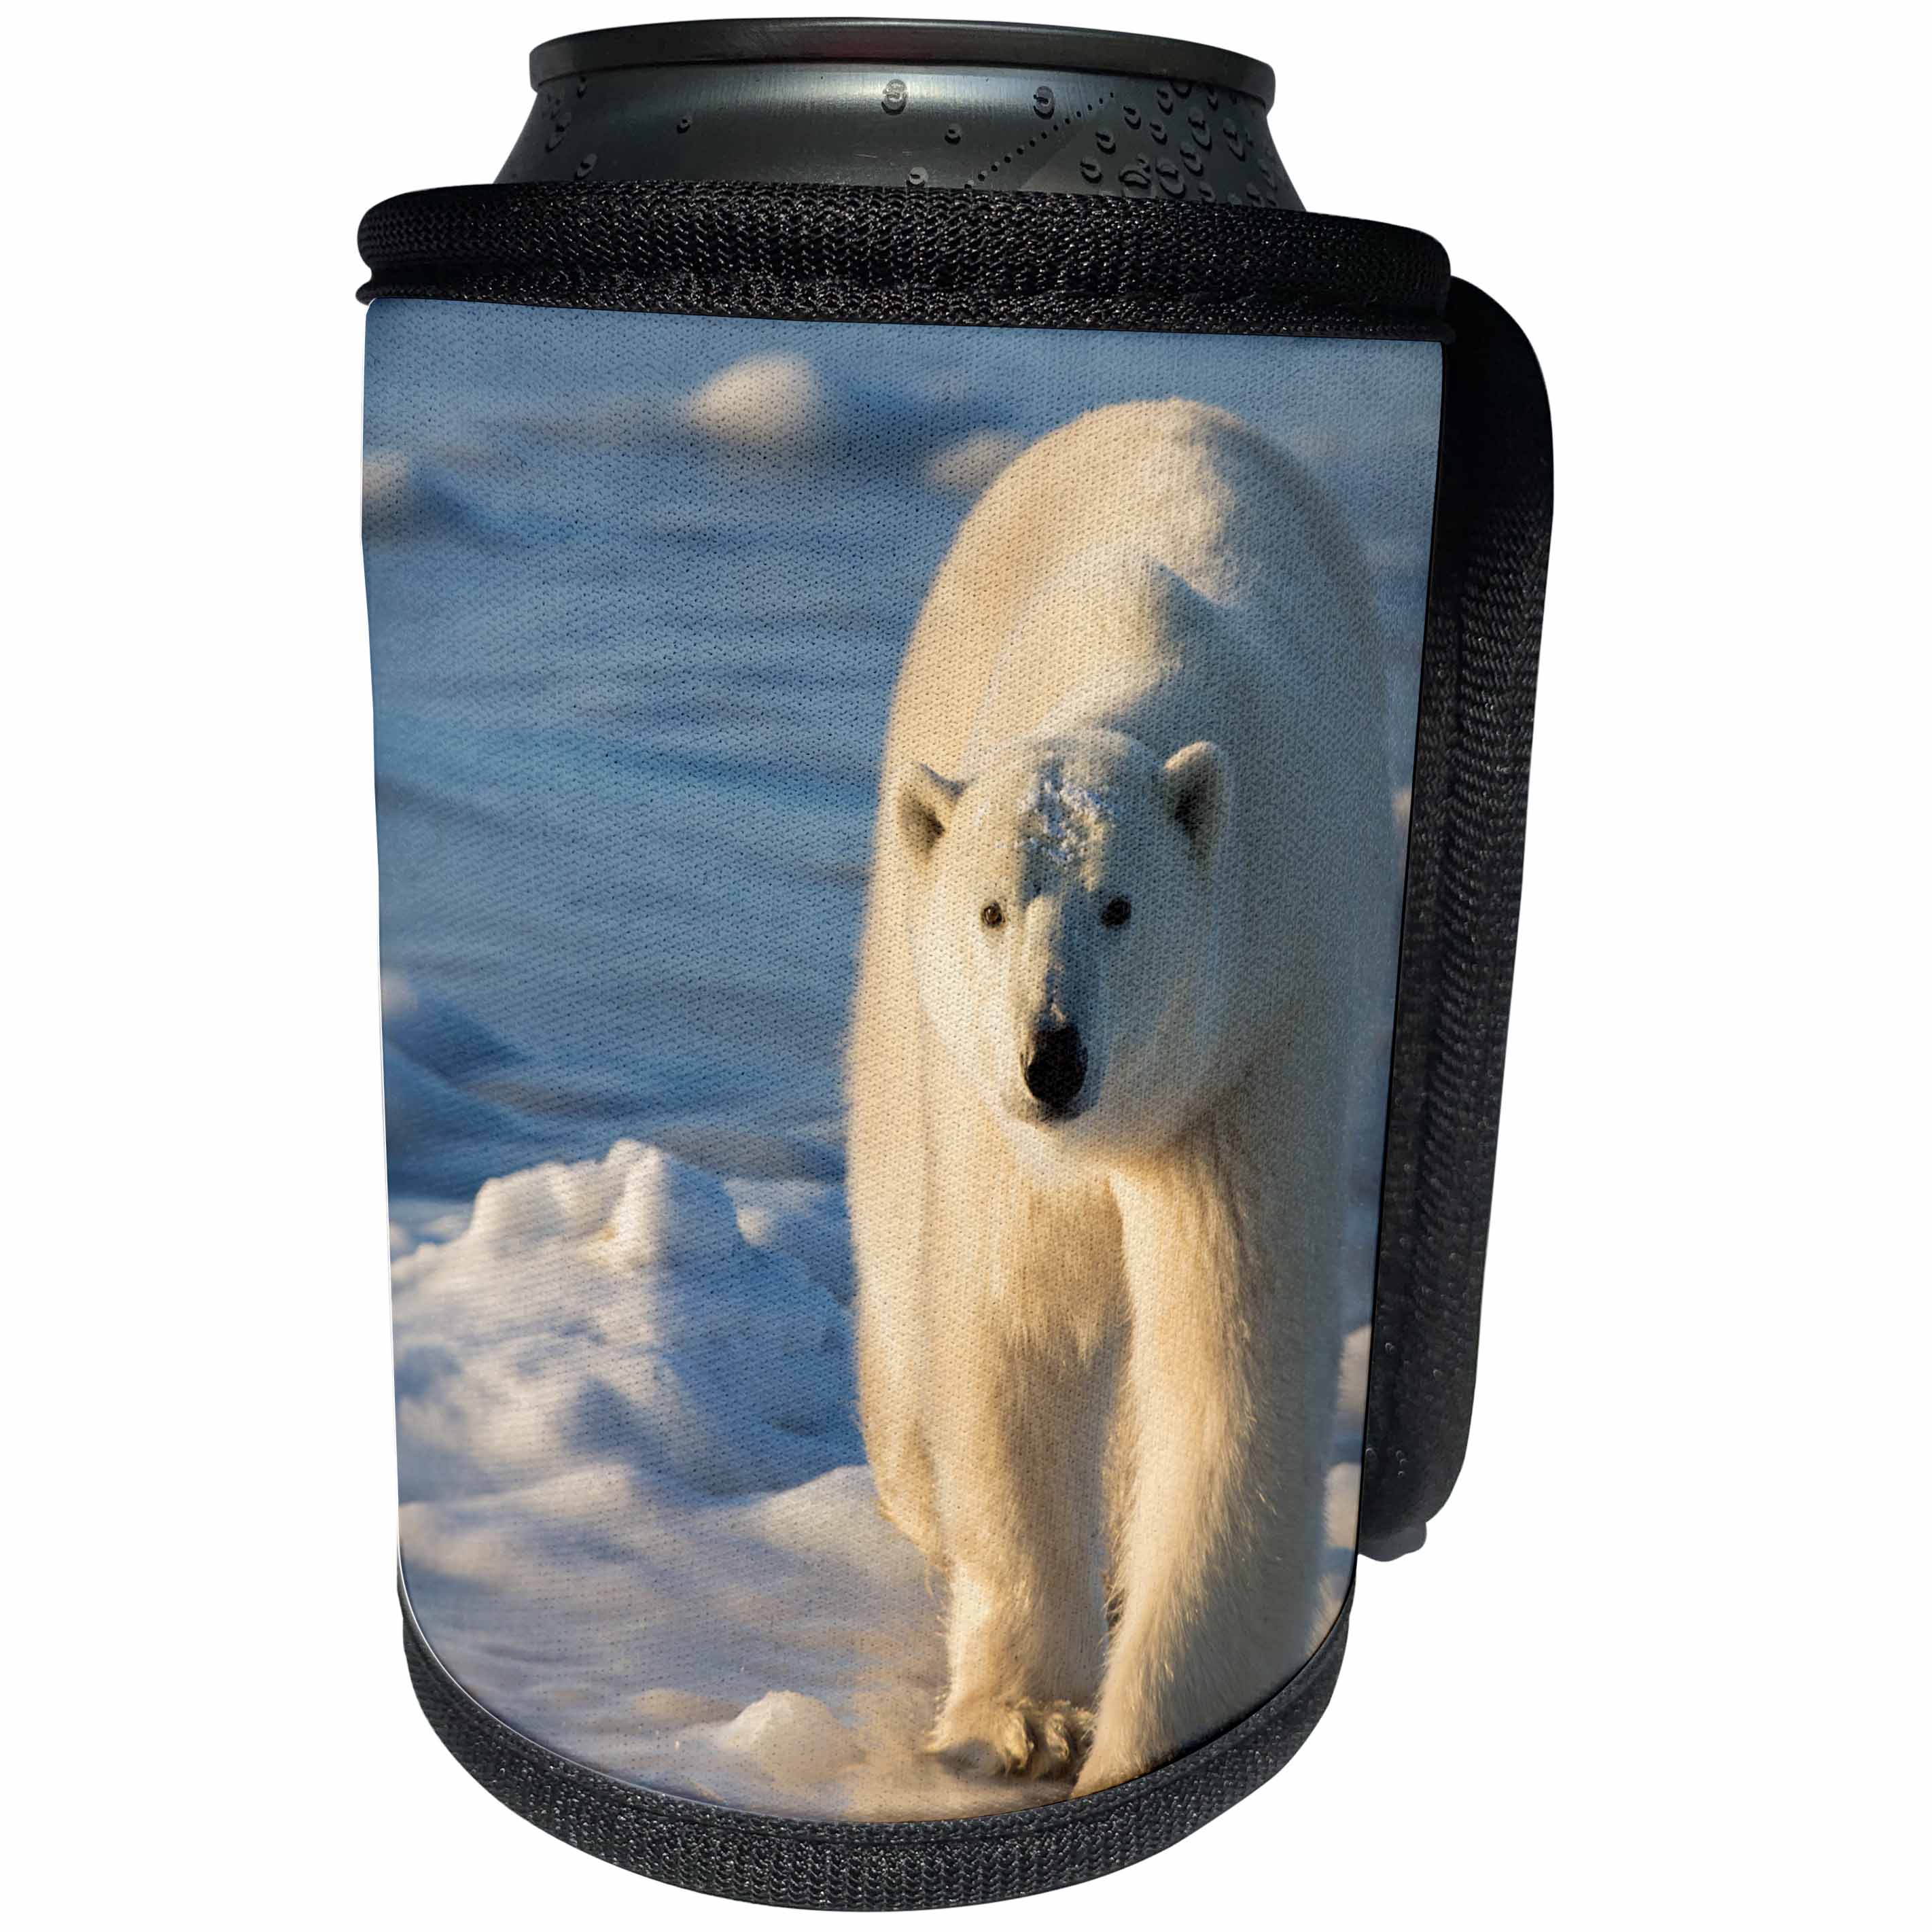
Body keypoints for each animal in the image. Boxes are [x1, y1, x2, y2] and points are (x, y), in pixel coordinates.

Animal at [847, 397, 1396, 1797]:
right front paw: (1028, 1716)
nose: (1052, 1057)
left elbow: (1222, 1361)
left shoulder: (1250, 1038)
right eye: (993, 909)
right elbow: (1013, 1330)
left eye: (1119, 905)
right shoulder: (996, 1117)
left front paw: (1149, 1731)